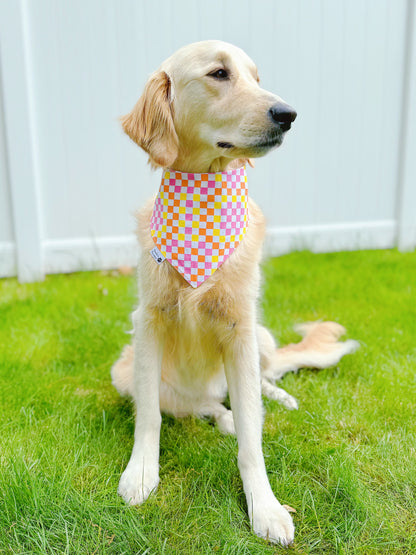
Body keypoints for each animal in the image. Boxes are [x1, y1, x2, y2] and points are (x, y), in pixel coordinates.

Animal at [112, 41, 360, 544]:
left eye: (256, 77)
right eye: (219, 74)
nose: (288, 114)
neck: (202, 198)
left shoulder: (240, 330)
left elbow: (252, 438)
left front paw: (264, 507)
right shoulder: (147, 323)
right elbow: (151, 416)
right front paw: (141, 473)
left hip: (261, 337)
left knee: (258, 385)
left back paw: (277, 398)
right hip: (123, 369)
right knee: (200, 405)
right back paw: (221, 415)